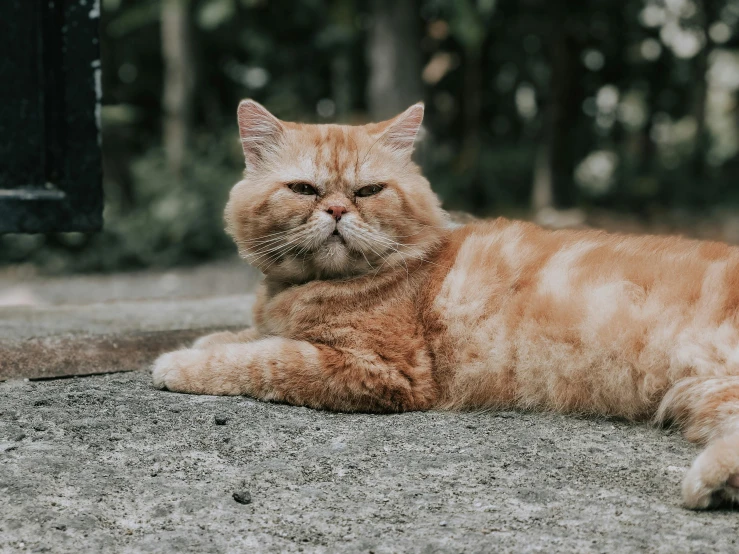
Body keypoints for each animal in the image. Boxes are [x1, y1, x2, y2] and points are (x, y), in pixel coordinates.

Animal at [152, 100, 739, 508]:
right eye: (303, 189)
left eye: (367, 191)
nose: (338, 211)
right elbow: (248, 336)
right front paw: (208, 338)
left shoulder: (379, 369)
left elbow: (260, 358)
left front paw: (178, 363)